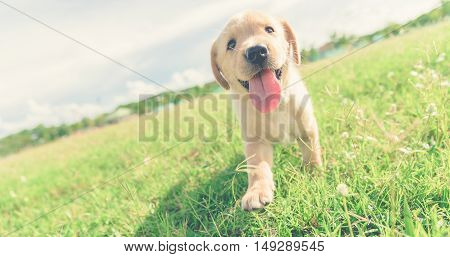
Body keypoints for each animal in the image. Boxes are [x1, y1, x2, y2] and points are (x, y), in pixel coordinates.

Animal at [210, 10, 320, 210]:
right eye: (231, 44)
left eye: (269, 30)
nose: (256, 52)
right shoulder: (255, 141)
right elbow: (257, 168)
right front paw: (257, 191)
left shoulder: (306, 127)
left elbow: (311, 151)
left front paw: (313, 173)